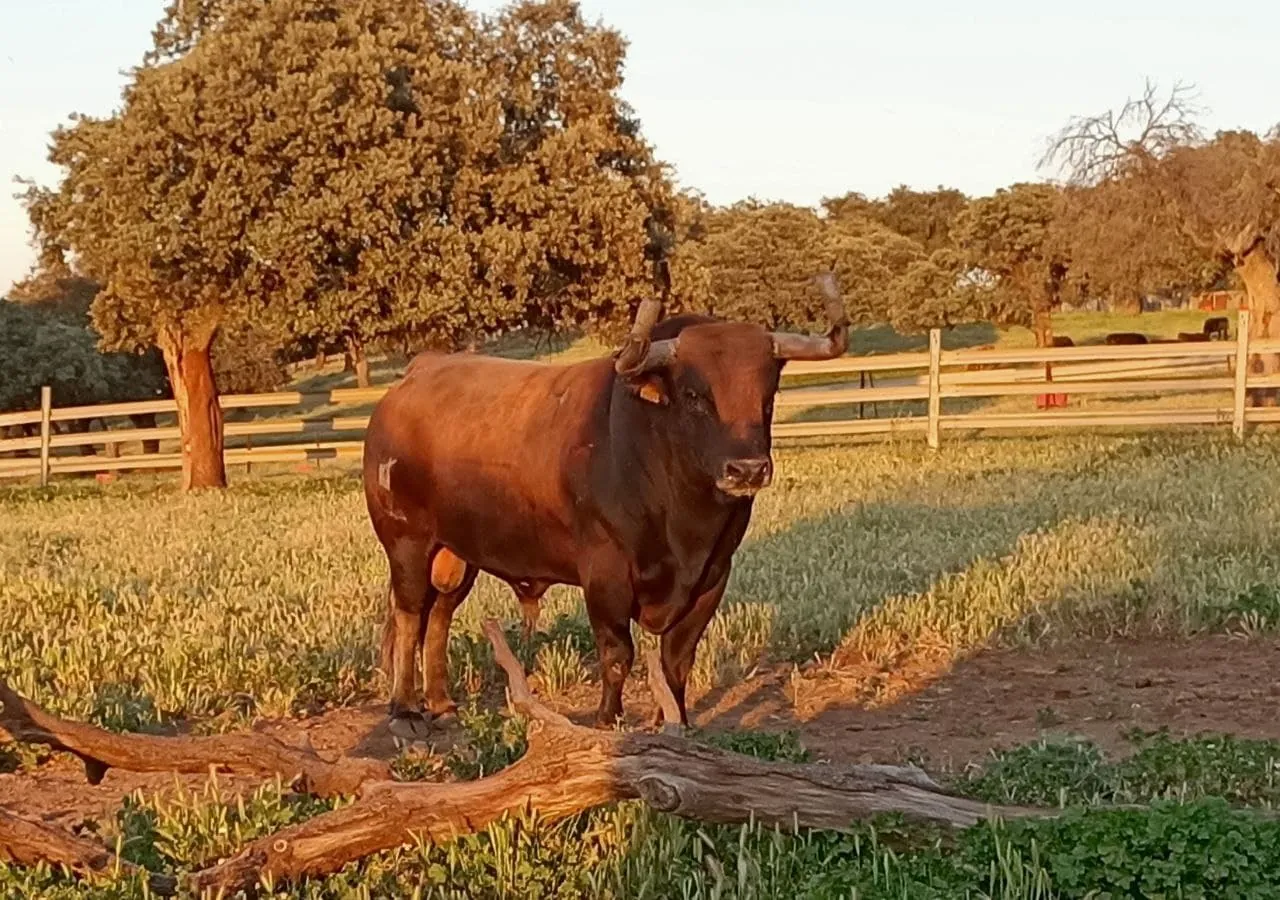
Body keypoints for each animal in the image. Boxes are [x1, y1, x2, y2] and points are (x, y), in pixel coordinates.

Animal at [362, 266, 850, 740]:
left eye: (769, 397)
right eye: (695, 396)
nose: (747, 470)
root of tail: (415, 375)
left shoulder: (713, 576)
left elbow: (676, 660)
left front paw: (673, 722)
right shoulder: (605, 573)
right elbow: (618, 655)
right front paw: (608, 721)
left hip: (458, 552)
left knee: (439, 615)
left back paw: (442, 704)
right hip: (407, 541)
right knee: (410, 615)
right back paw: (405, 710)